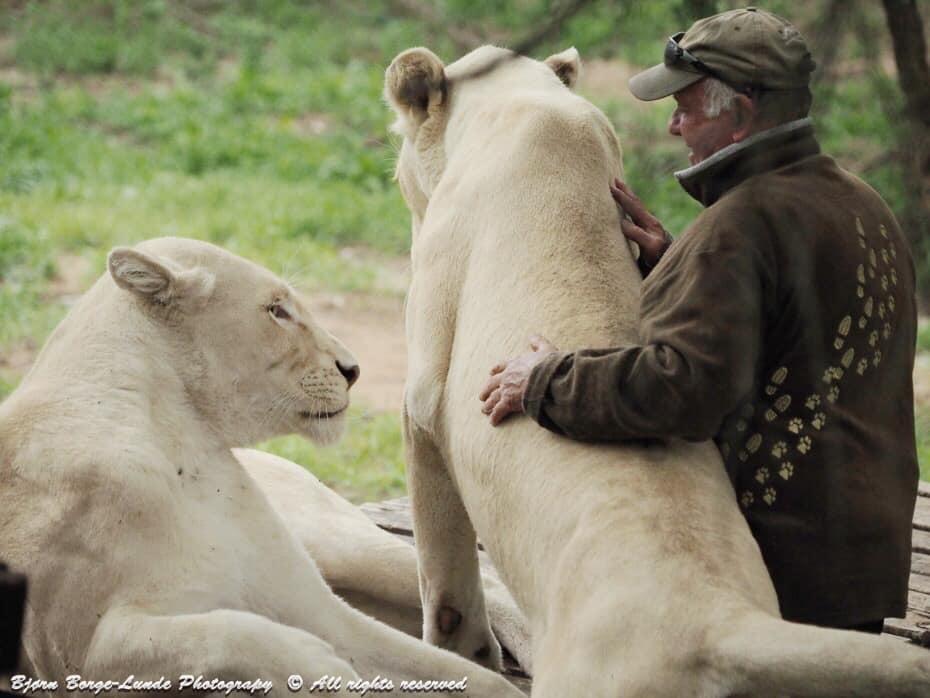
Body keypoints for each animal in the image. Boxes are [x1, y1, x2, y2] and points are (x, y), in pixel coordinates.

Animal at [0, 237, 520, 692]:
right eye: (277, 310)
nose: (352, 370)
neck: (185, 447)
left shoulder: (312, 603)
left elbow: (469, 678)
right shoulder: (70, 651)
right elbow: (223, 631)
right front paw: (319, 663)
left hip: (332, 540)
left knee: (482, 578)